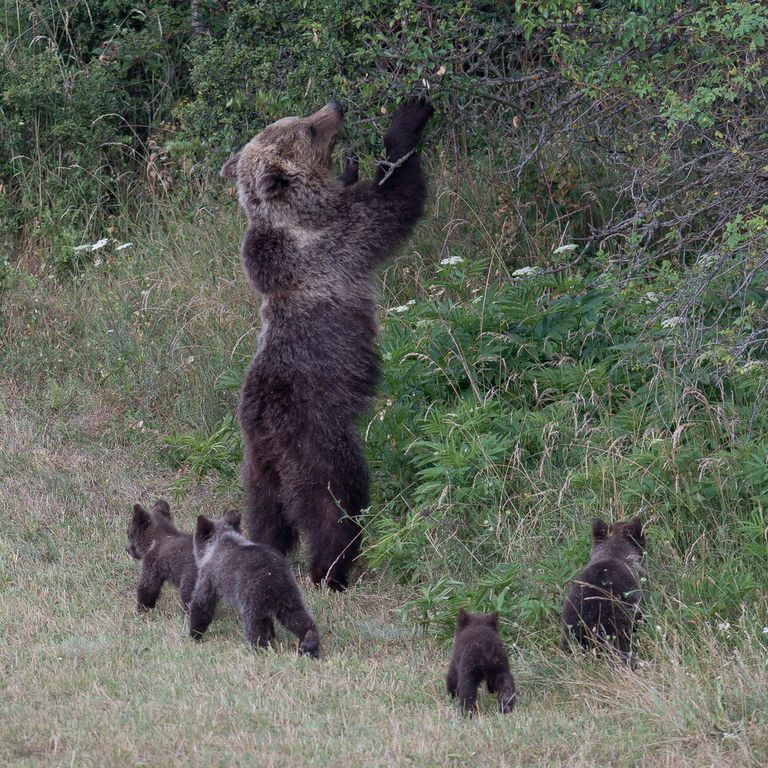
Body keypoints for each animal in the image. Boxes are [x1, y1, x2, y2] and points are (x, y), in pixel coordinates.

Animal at [220, 94, 432, 588]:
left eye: (297, 119)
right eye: (308, 129)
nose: (333, 105)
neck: (299, 215)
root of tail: (268, 434)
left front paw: (354, 166)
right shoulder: (340, 239)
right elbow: (394, 202)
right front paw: (407, 121)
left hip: (257, 470)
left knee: (266, 516)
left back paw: (268, 551)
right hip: (320, 444)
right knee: (335, 506)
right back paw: (333, 569)